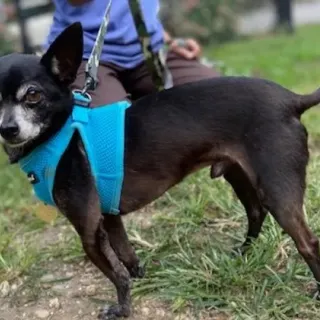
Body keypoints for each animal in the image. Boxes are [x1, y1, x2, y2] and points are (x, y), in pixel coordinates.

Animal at [0, 23, 320, 318]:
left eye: (32, 95)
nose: (7, 129)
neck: (62, 132)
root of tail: (292, 99)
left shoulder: (89, 232)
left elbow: (116, 275)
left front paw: (122, 309)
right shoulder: (110, 218)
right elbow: (126, 257)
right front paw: (140, 278)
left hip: (277, 190)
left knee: (308, 242)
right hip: (238, 173)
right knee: (255, 211)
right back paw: (241, 253)